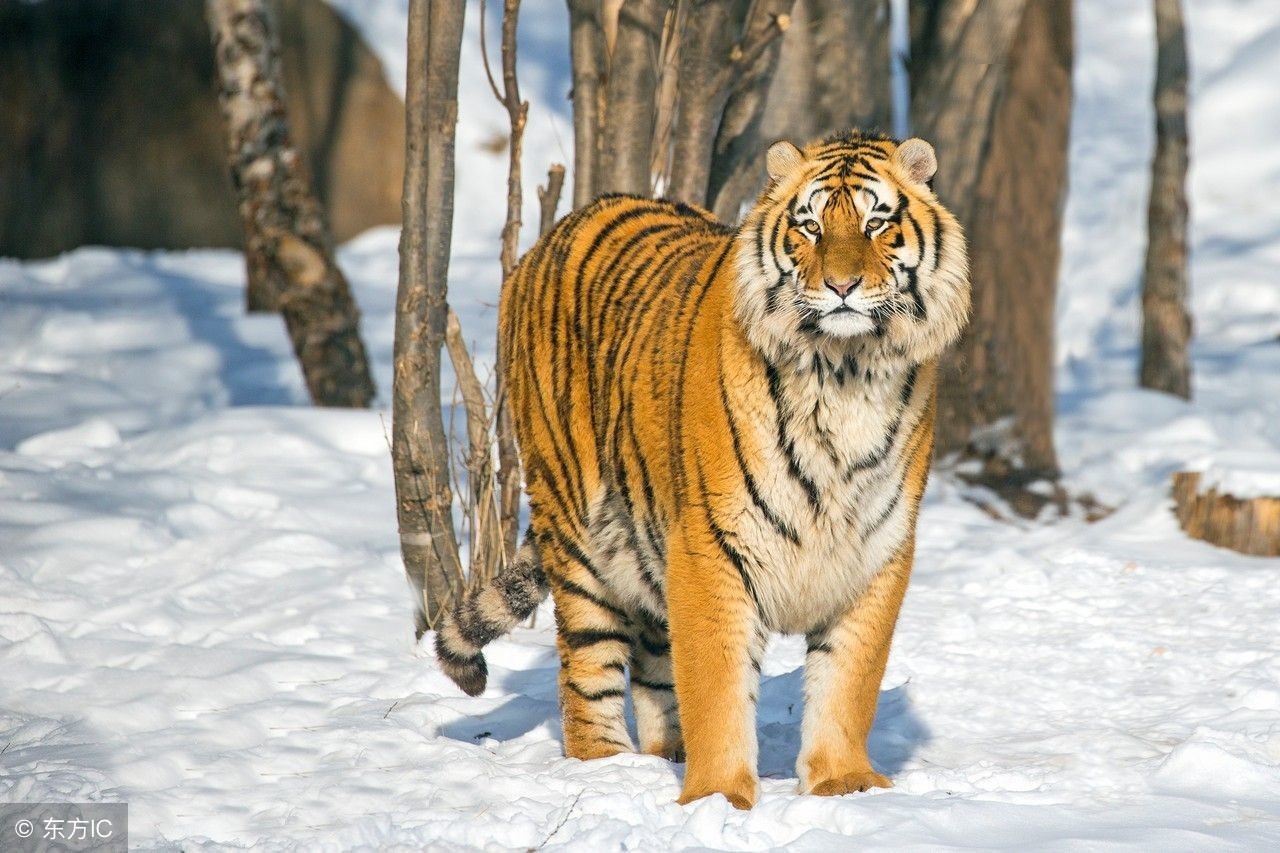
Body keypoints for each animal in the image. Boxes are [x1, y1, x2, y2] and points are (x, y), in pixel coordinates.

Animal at [437, 131, 967, 804]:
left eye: (876, 223)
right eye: (811, 226)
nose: (842, 286)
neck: (845, 370)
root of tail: (552, 235)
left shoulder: (876, 548)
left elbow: (849, 681)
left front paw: (842, 783)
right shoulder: (711, 543)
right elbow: (717, 683)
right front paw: (718, 797)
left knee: (655, 666)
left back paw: (665, 754)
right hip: (578, 528)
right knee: (587, 662)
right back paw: (606, 767)